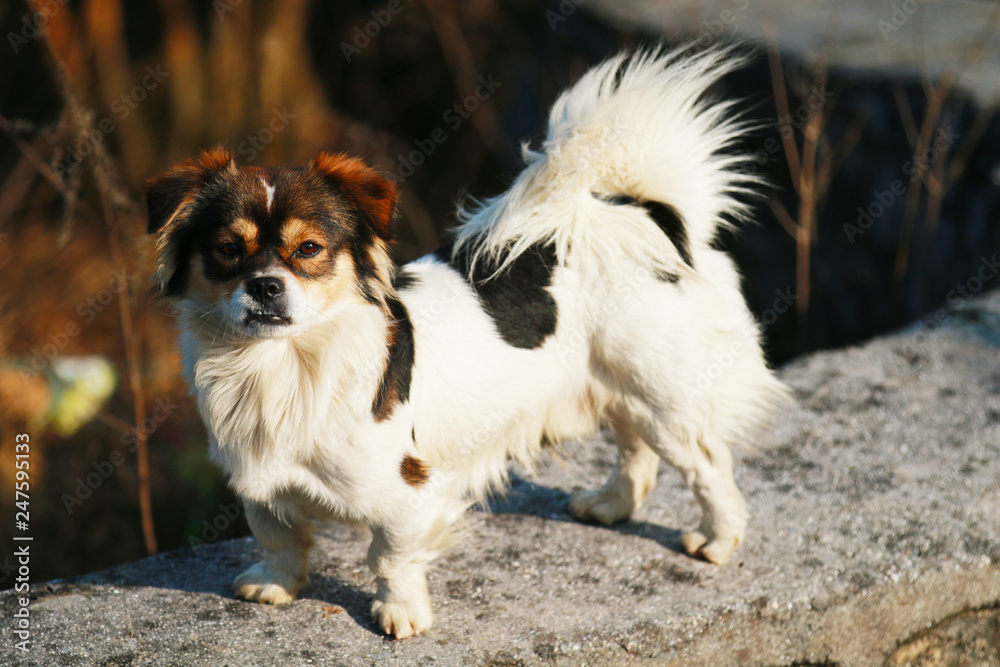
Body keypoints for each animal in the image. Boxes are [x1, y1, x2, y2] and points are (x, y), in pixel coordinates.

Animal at [146, 44, 788, 640]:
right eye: (228, 249)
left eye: (308, 250)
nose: (264, 286)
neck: (281, 364)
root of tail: (649, 218)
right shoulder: (261, 482)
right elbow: (279, 536)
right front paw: (278, 585)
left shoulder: (408, 493)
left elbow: (390, 556)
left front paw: (401, 613)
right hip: (617, 385)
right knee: (636, 449)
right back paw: (610, 506)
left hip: (665, 397)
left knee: (707, 465)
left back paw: (718, 540)